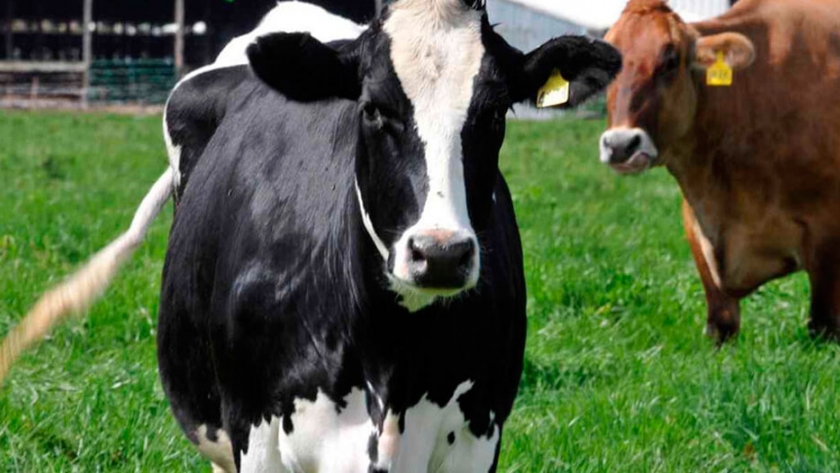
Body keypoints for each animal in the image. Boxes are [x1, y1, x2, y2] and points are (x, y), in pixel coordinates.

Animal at [0, 0, 621, 471]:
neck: (393, 358)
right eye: (372, 109)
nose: (440, 253)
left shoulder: (479, 436)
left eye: (494, 114)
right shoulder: (258, 435)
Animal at [599, 0, 840, 343]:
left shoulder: (827, 235)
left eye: (671, 61)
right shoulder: (697, 226)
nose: (620, 144)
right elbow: (720, 324)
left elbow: (822, 326)